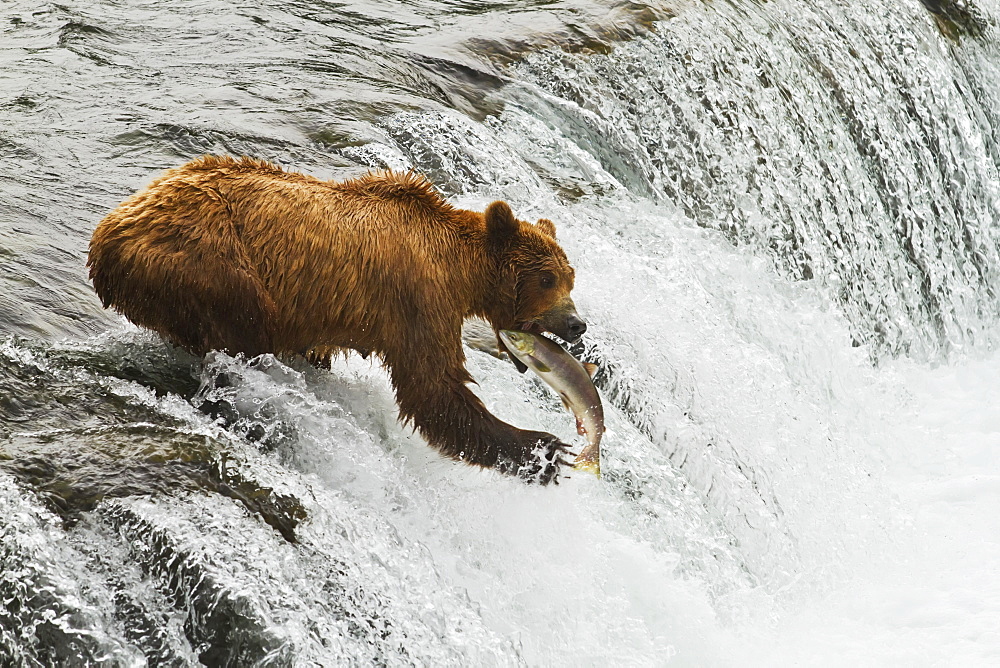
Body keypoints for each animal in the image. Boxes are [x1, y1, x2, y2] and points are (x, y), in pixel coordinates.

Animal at [88, 155, 584, 482]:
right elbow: (434, 389)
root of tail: (107, 233)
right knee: (243, 321)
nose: (577, 324)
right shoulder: (419, 299)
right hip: (207, 259)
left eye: (570, 277)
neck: (459, 269)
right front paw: (544, 449)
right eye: (547, 279)